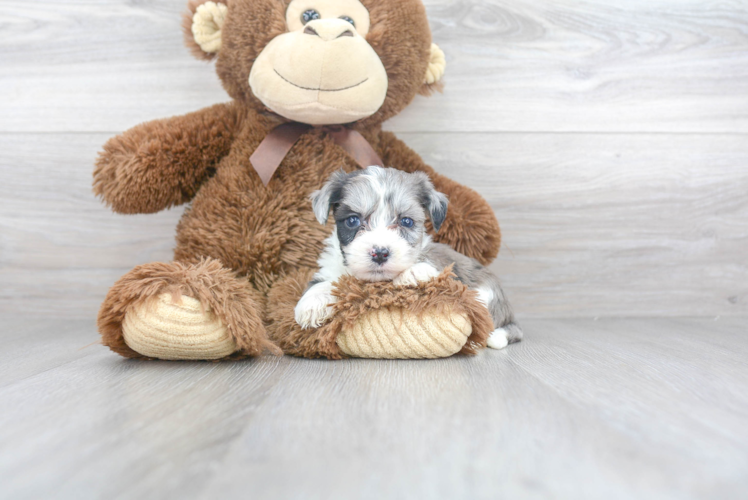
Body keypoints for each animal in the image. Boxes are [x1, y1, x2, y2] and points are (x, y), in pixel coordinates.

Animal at [296, 166, 524, 350]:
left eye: (406, 221)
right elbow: (325, 282)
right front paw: (311, 303)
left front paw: (413, 272)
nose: (380, 252)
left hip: (487, 296)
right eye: (353, 220)